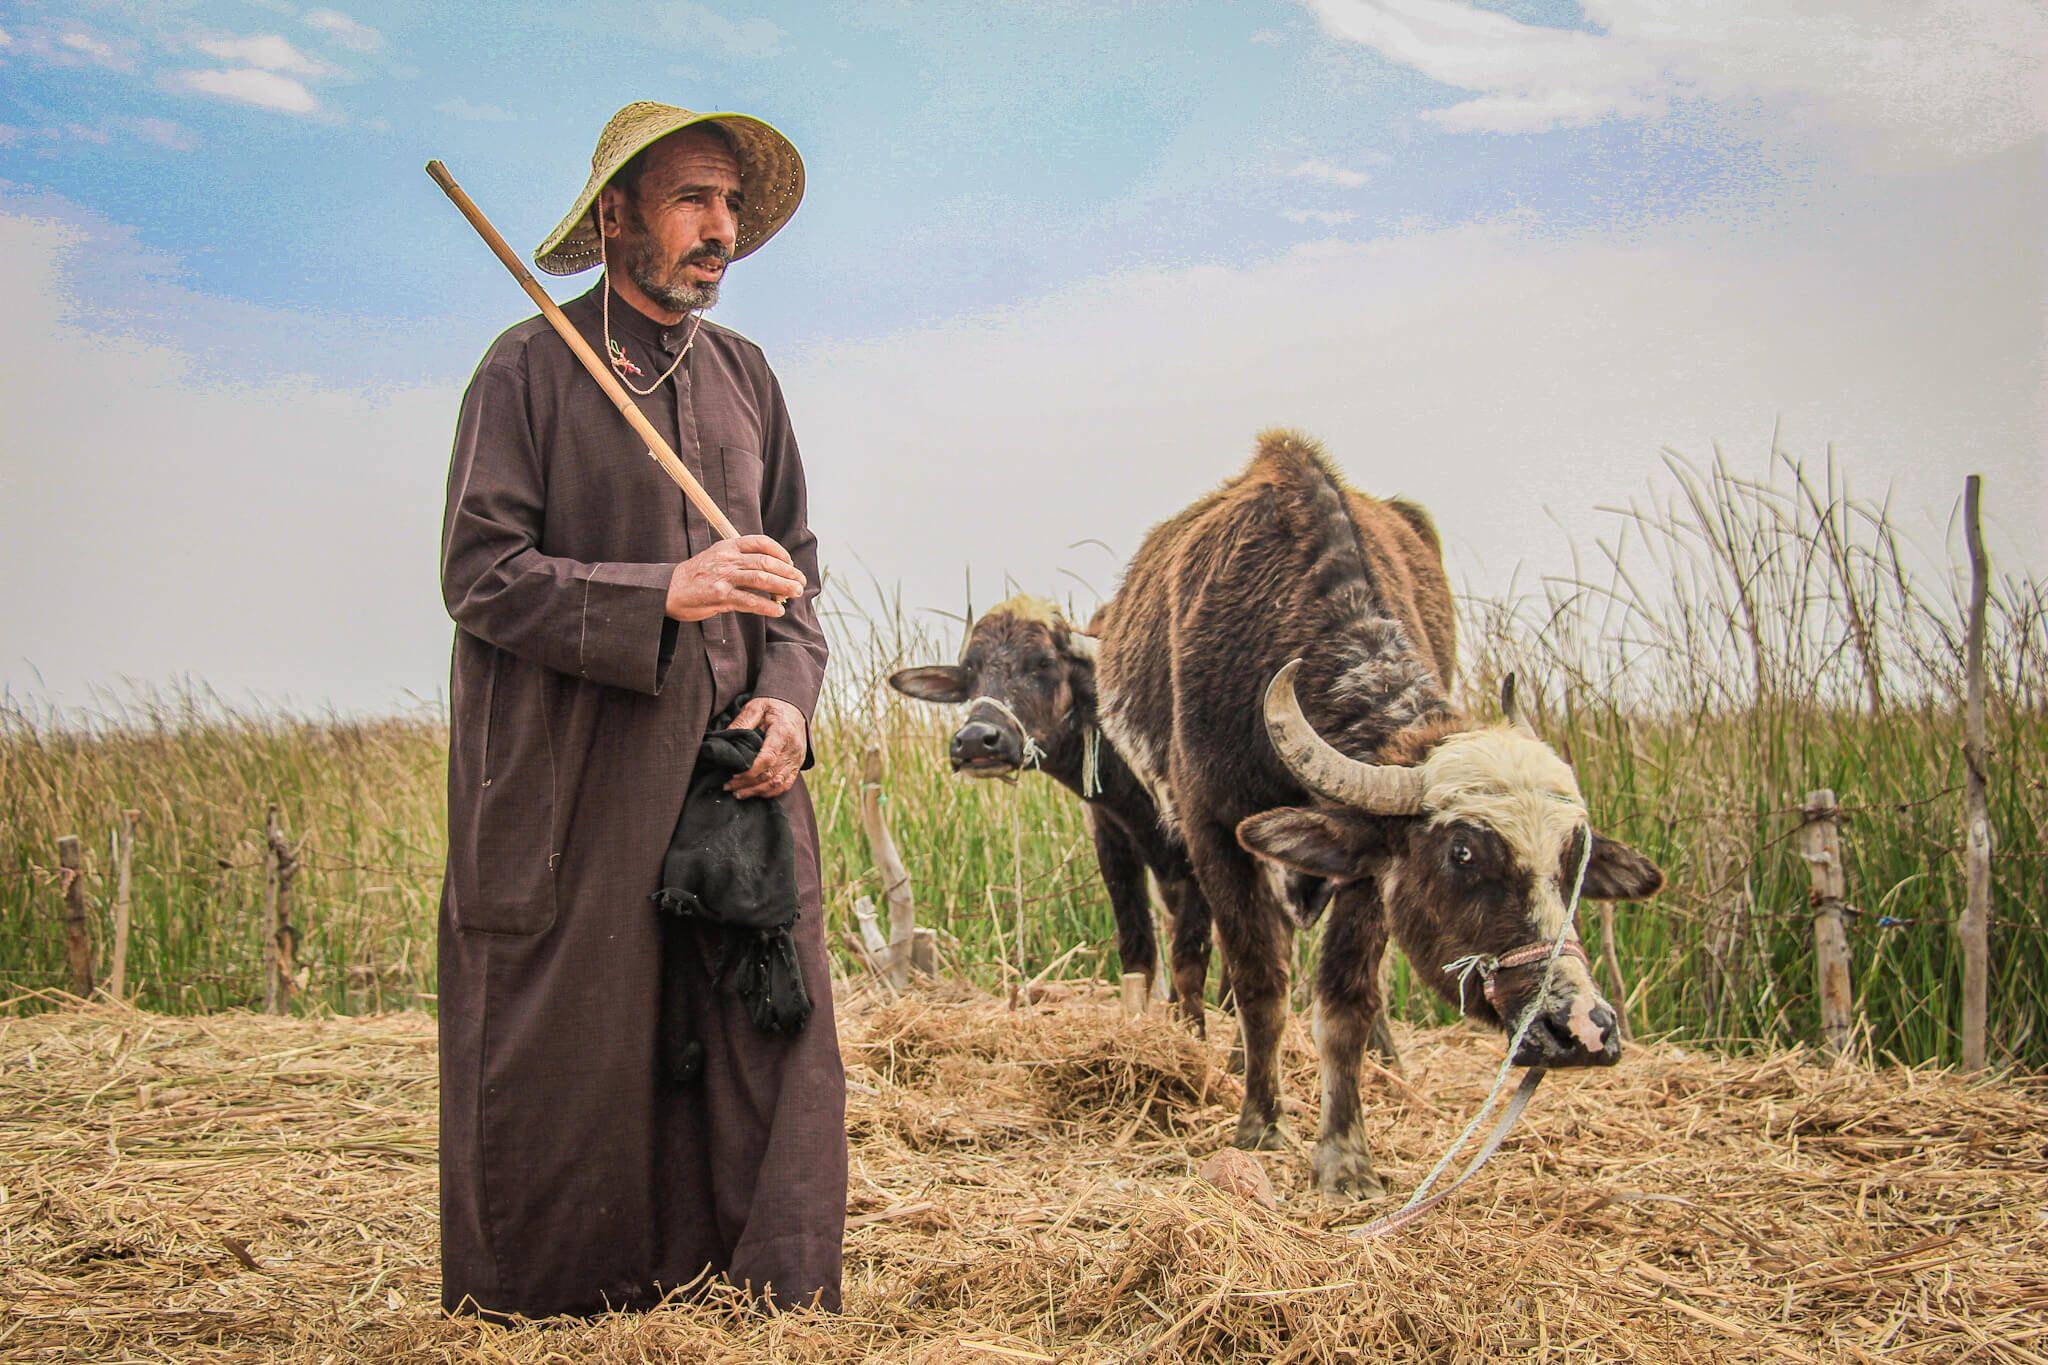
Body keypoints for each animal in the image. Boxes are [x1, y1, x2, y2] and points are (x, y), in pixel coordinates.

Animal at [1089, 431, 1662, 1203]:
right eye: (1462, 853)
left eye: (1577, 857)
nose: (1584, 1028)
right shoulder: (1213, 833)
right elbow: (1259, 979)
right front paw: (1261, 1124)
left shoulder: (1366, 872)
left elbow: (1347, 1000)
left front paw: (1344, 1156)